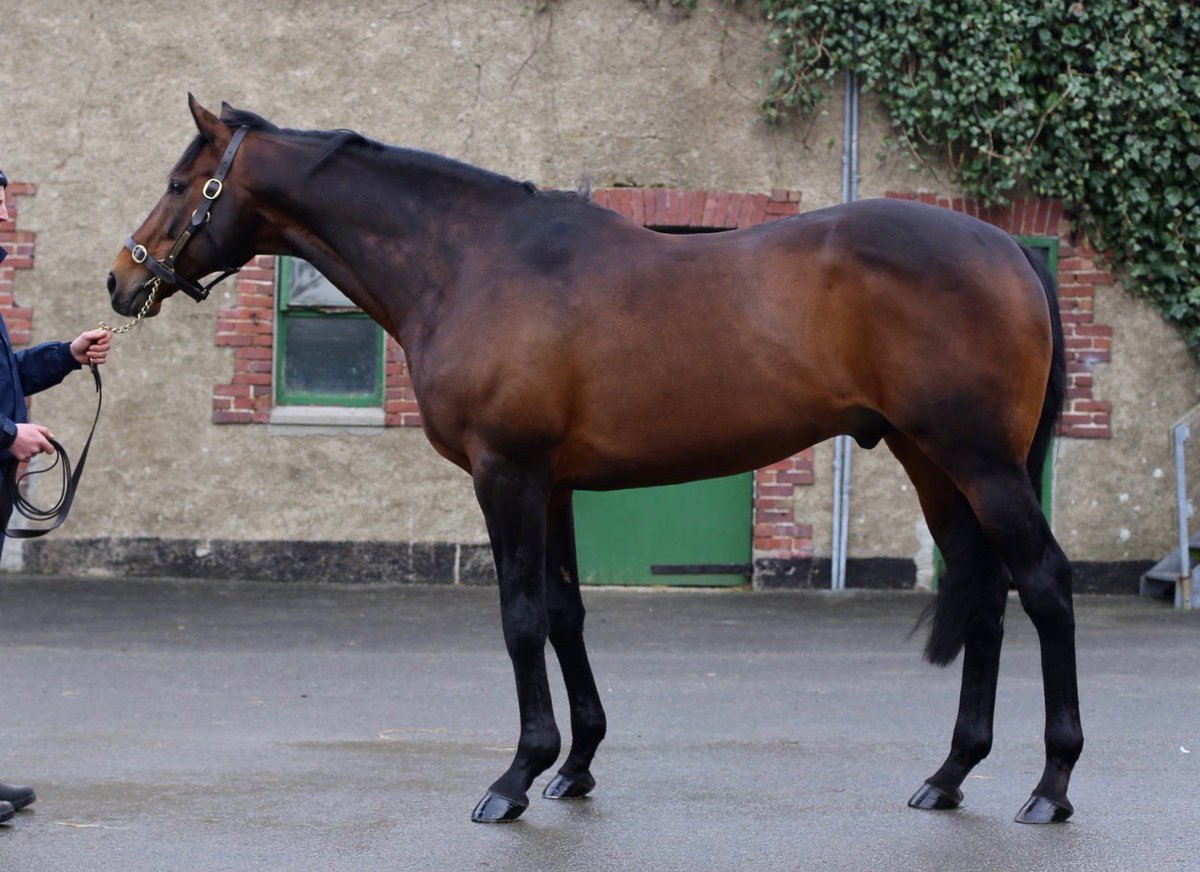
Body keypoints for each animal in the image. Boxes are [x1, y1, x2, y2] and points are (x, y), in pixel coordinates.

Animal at [105, 98, 1080, 830]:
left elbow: (521, 618)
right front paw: (574, 766)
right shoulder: (556, 484)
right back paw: (950, 774)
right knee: (984, 589)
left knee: (1043, 582)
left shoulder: (507, 473)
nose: (121, 279)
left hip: (979, 462)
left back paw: (1050, 785)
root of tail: (1008, 251)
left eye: (182, 183)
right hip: (933, 462)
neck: (471, 262)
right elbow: (566, 613)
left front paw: (514, 778)